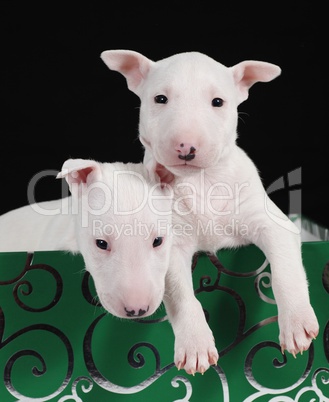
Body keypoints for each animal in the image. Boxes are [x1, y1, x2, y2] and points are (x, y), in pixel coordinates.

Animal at [101, 49, 320, 374]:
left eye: (218, 102)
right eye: (160, 99)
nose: (186, 146)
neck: (201, 181)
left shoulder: (272, 223)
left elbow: (285, 270)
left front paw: (296, 323)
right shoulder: (170, 244)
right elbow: (181, 294)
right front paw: (195, 345)